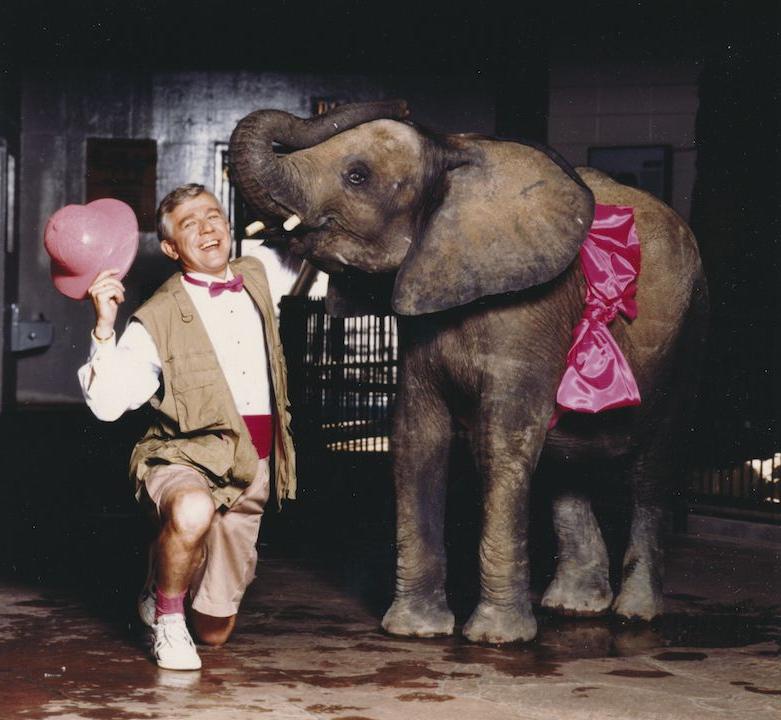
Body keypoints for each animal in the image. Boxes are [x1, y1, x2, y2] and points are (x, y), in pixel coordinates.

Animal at [229, 98, 708, 644]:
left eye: (357, 176)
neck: (456, 157)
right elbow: (416, 437)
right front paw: (415, 632)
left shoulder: (527, 316)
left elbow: (501, 442)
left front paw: (496, 639)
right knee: (568, 462)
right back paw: (575, 608)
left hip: (691, 330)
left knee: (654, 466)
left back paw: (634, 613)